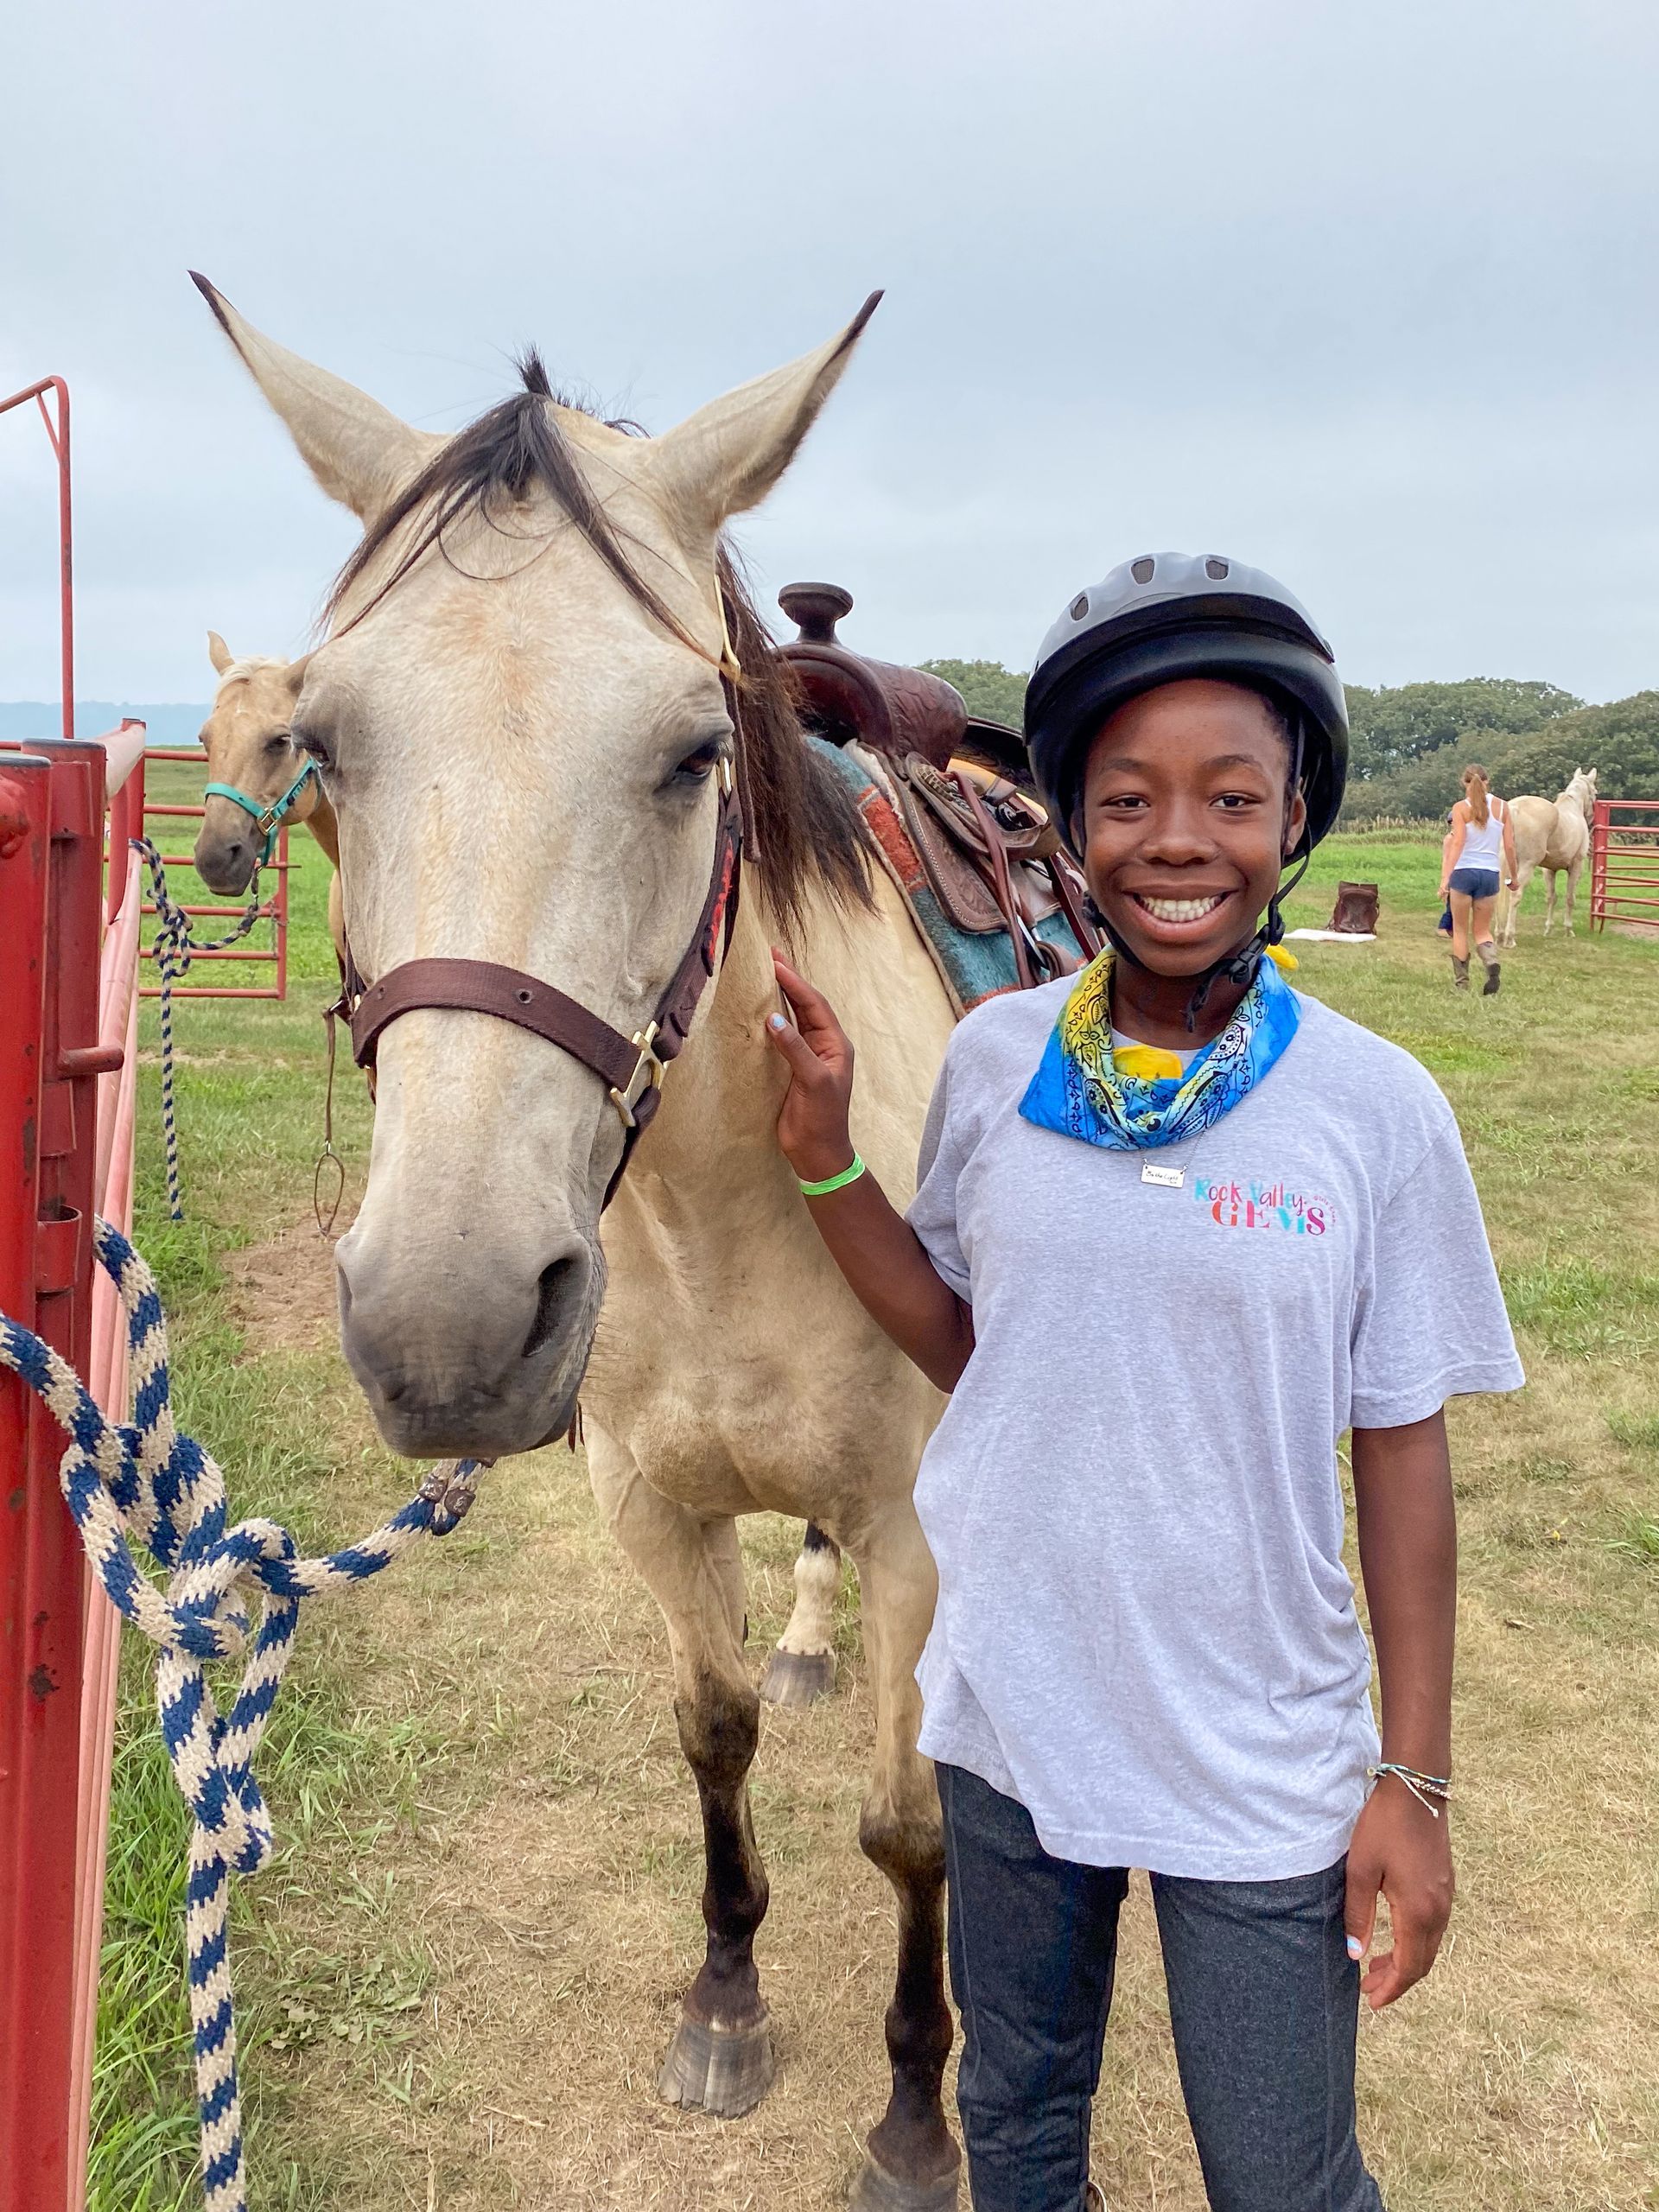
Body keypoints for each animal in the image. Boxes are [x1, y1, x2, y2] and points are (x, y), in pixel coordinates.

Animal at [195, 276, 963, 2210]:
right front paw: (724, 2004)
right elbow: (714, 1738)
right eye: (328, 747)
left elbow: (909, 1828)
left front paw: (917, 2112)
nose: (449, 1327)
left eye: (694, 750)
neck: (716, 1215)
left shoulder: (923, 1533)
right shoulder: (648, 1502)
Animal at [1497, 766, 1597, 947]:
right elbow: (1570, 897)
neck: (1573, 807)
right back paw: (1510, 938)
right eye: (1595, 792)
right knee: (1515, 895)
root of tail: (1514, 809)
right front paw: (1568, 930)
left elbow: (1551, 897)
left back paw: (1499, 935)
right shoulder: (1576, 866)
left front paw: (1548, 929)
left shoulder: (1549, 870)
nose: (1591, 818)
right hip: (1526, 866)